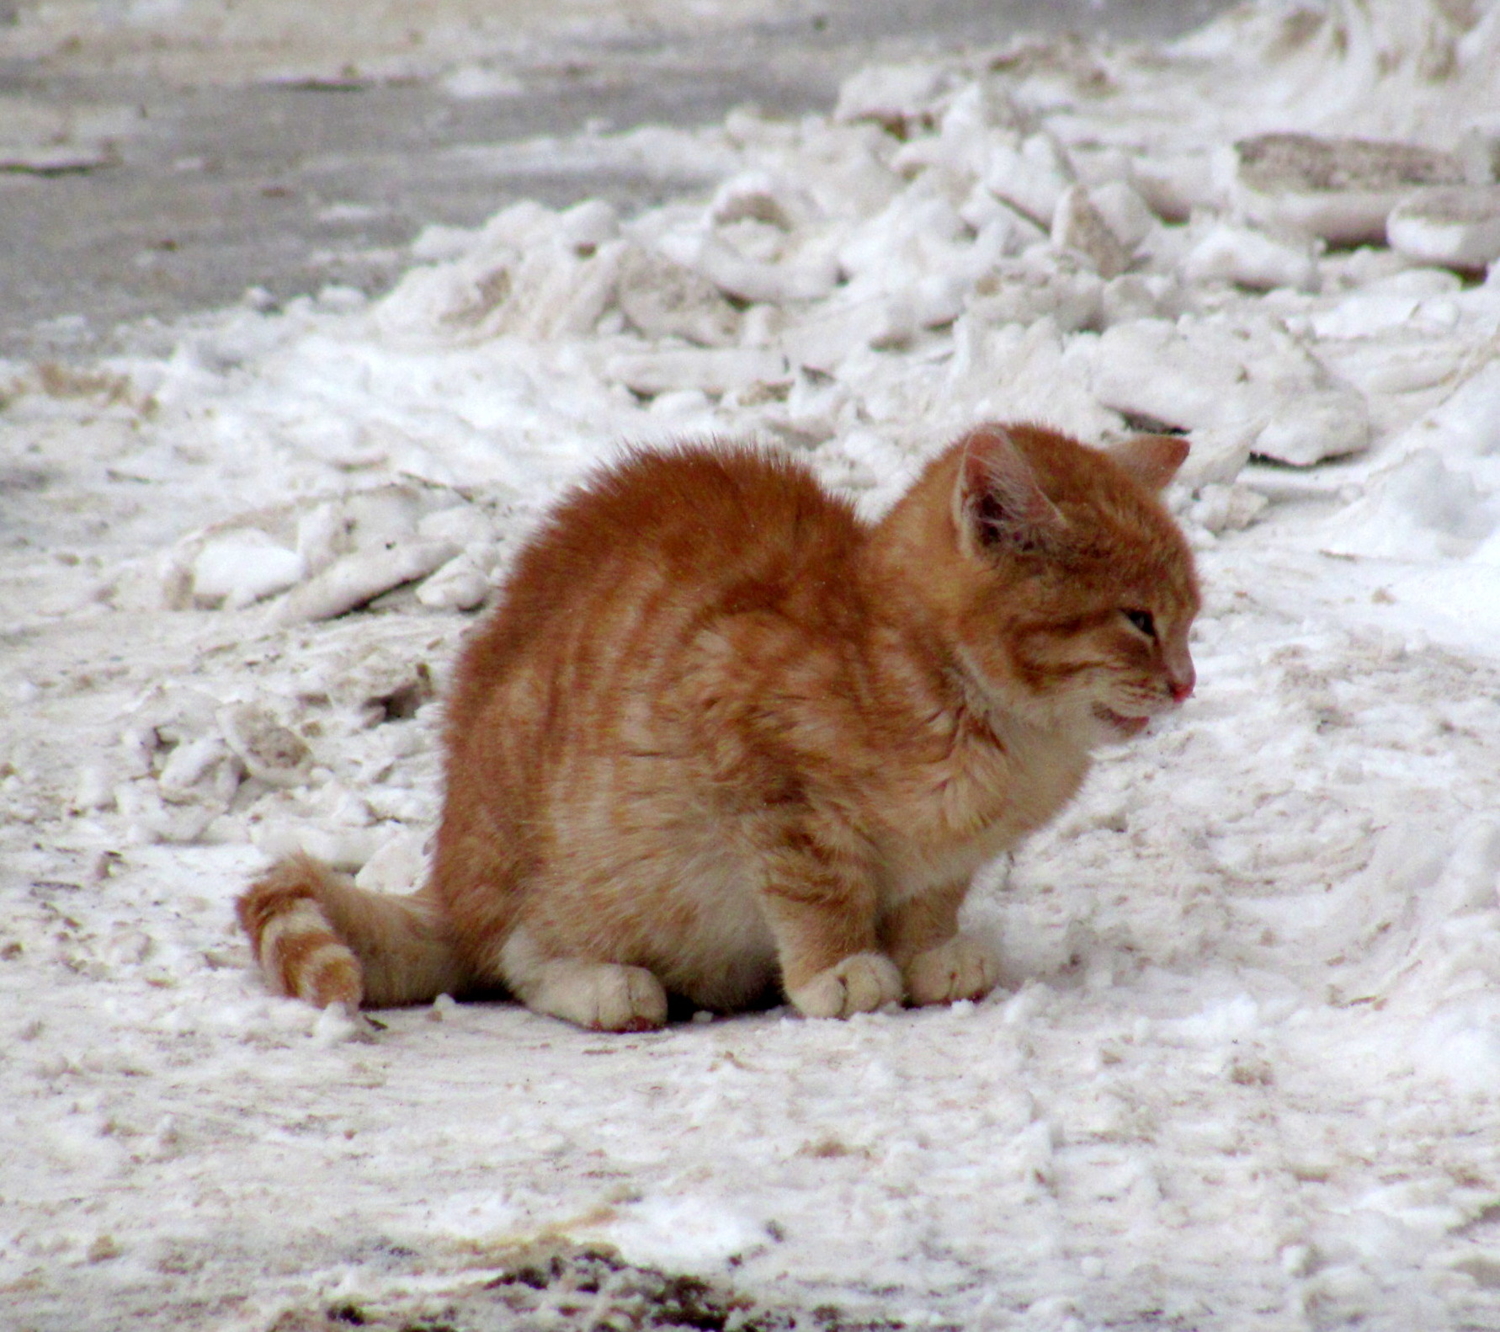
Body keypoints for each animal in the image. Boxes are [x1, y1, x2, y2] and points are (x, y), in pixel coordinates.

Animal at [237, 423, 1194, 1032]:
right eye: (1138, 620)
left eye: (1190, 618)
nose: (1187, 683)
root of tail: (448, 877)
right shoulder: (750, 755)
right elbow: (817, 888)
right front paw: (839, 968)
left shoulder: (943, 859)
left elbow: (928, 900)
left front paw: (931, 956)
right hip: (550, 839)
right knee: (512, 956)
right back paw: (605, 985)